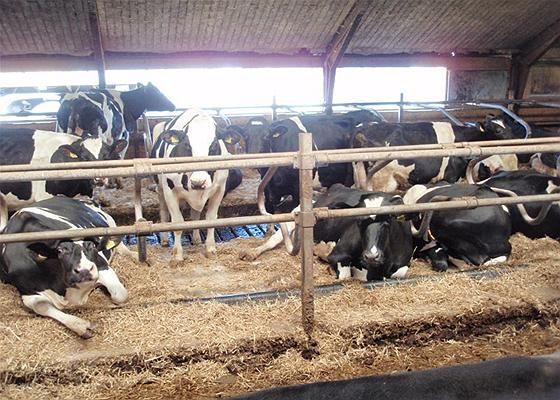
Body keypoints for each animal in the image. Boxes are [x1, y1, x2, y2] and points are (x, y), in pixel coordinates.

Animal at [0, 197, 131, 338]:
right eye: (60, 251)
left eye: (92, 245)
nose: (84, 270)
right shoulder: (26, 290)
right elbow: (41, 306)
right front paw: (81, 325)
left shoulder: (102, 266)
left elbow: (120, 295)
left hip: (111, 223)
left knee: (122, 248)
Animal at [151, 109, 234, 260]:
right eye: (187, 145)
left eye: (214, 145)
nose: (198, 182)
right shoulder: (170, 192)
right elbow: (177, 222)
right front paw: (177, 254)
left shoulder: (219, 190)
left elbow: (211, 219)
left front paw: (210, 248)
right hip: (160, 188)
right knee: (164, 212)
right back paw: (164, 240)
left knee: (195, 215)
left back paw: (196, 239)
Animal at [240, 184, 413, 281]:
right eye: (357, 221)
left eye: (388, 220)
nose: (372, 255)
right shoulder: (337, 254)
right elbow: (345, 275)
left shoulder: (404, 262)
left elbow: (401, 272)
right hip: (293, 217)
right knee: (272, 240)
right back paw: (251, 253)